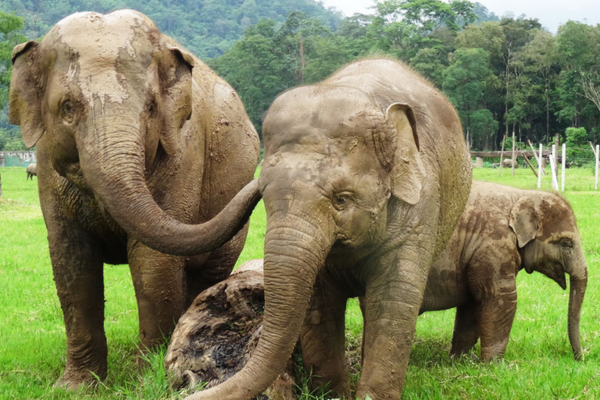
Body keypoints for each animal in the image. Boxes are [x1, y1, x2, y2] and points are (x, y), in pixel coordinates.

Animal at [8, 10, 261, 388]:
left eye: (152, 107)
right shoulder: (46, 166)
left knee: (208, 274)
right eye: (67, 109)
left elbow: (153, 263)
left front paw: (145, 382)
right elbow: (71, 265)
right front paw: (76, 387)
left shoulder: (183, 151)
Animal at [184, 58, 472, 400]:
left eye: (342, 199)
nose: (188, 393)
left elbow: (393, 302)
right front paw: (333, 395)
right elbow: (317, 302)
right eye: (263, 195)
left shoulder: (419, 209)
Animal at [420, 180, 587, 361]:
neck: (522, 195)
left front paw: (462, 360)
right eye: (566, 243)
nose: (579, 359)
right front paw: (495, 364)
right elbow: (501, 298)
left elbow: (473, 303)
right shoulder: (494, 247)